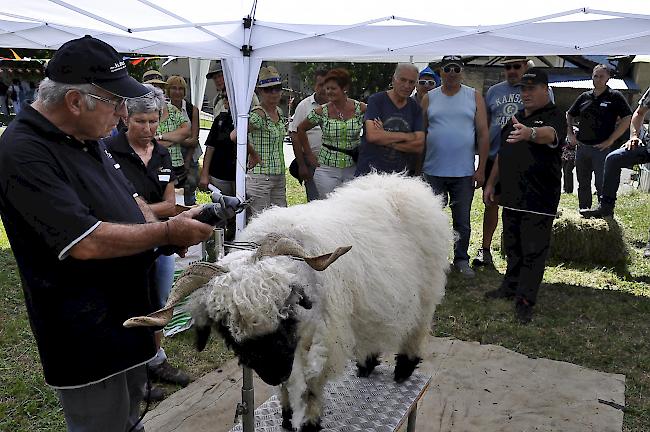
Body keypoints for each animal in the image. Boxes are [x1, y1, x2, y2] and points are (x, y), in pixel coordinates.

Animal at [125, 173, 450, 432]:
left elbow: (312, 387)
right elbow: (288, 387)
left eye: (286, 306)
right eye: (227, 327)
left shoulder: (322, 339)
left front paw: (309, 422)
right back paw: (367, 364)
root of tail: (406, 182)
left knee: (418, 326)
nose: (273, 372)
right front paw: (285, 414)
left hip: (427, 287)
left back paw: (404, 368)